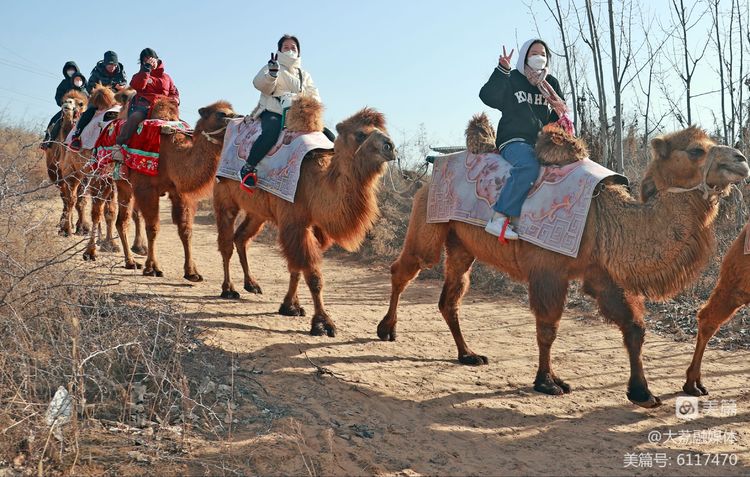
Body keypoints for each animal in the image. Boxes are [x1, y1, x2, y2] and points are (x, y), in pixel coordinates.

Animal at [119, 101, 241, 278]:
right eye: (221, 114)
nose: (242, 118)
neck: (171, 156)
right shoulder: (146, 189)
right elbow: (152, 228)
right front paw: (152, 268)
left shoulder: (180, 192)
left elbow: (186, 230)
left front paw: (192, 272)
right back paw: (124, 259)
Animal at [213, 96, 396, 334]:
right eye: (360, 134)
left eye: (382, 130)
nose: (390, 146)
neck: (316, 182)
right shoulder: (294, 223)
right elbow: (312, 274)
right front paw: (323, 323)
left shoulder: (313, 226)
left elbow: (296, 268)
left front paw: (290, 306)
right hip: (225, 196)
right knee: (226, 243)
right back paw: (228, 289)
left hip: (257, 211)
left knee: (241, 237)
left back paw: (251, 284)